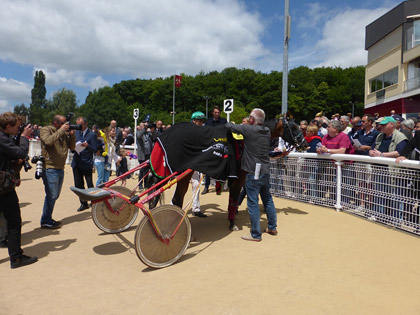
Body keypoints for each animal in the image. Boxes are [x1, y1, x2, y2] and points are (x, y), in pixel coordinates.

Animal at [146, 112, 306, 231]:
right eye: (294, 126)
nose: (304, 143)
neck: (243, 141)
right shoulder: (240, 175)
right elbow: (234, 197)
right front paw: (232, 222)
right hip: (181, 174)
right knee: (175, 199)